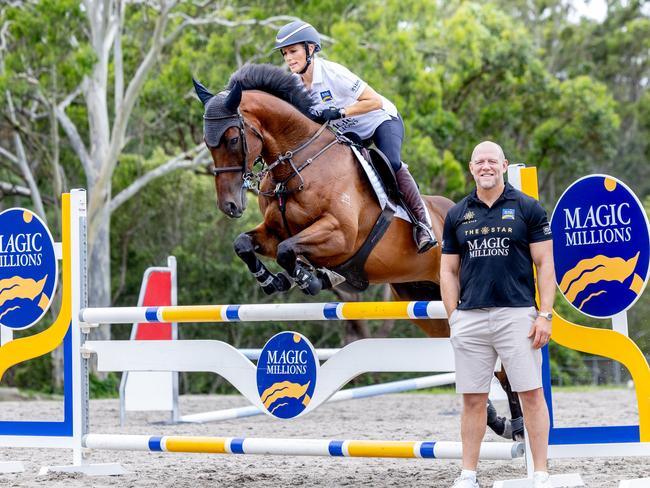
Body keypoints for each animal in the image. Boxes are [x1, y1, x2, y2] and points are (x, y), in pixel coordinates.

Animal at [191, 63, 520, 440]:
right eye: (208, 143)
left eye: (233, 138)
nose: (230, 206)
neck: (298, 165)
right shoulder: (274, 232)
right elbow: (245, 244)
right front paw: (272, 281)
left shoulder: (340, 234)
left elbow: (290, 251)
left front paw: (309, 279)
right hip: (425, 301)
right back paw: (496, 419)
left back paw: (517, 423)